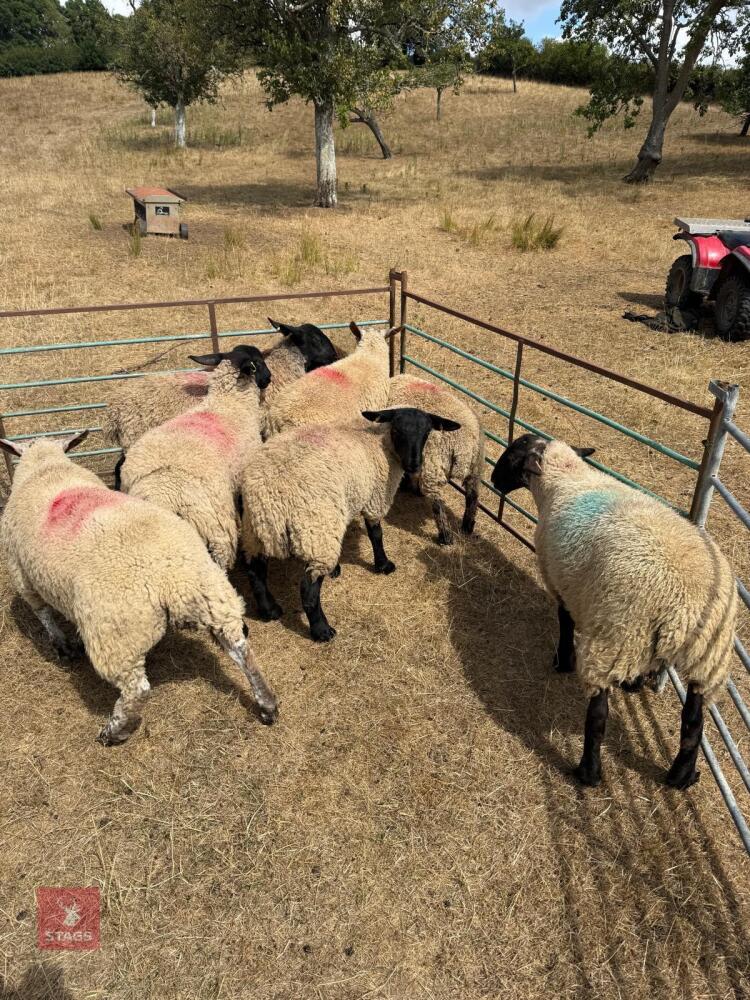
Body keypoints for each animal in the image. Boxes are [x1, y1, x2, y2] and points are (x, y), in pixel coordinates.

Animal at [0, 432, 278, 743]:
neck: (45, 468)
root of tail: (172, 578)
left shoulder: (20, 572)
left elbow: (43, 614)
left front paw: (61, 645)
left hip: (115, 634)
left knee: (137, 688)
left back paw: (113, 731)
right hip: (214, 595)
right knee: (240, 648)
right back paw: (267, 704)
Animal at [241, 407, 460, 642]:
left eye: (427, 433)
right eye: (397, 430)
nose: (414, 465)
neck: (381, 441)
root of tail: (267, 496)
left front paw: (338, 569)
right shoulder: (375, 497)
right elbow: (376, 533)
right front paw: (383, 565)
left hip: (256, 532)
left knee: (255, 572)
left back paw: (269, 610)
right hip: (317, 530)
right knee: (308, 590)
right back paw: (322, 631)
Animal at [386, 374, 484, 545]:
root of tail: (462, 444)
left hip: (433, 467)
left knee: (437, 504)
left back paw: (446, 536)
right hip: (475, 466)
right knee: (473, 496)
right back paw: (467, 527)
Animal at [491, 433, 738, 791]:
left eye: (511, 456)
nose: (494, 480)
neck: (568, 480)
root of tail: (681, 607)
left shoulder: (560, 581)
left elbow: (564, 622)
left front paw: (562, 661)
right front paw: (633, 683)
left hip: (615, 636)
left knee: (598, 716)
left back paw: (588, 772)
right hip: (709, 659)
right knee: (693, 722)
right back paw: (682, 777)